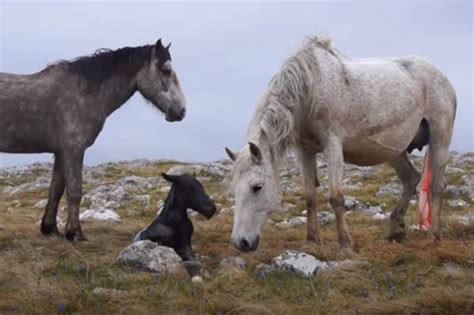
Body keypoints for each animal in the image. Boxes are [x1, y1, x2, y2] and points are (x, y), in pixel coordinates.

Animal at [0, 39, 187, 242]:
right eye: (166, 70)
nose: (181, 110)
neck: (84, 93)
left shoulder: (61, 152)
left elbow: (56, 190)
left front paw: (50, 229)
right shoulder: (74, 150)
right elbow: (75, 191)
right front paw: (75, 233)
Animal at [226, 35, 456, 253]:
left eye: (257, 187)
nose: (241, 242)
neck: (311, 89)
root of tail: (442, 77)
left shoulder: (333, 145)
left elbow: (336, 197)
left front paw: (345, 243)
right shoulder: (304, 150)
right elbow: (310, 196)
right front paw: (312, 241)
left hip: (440, 137)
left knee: (437, 185)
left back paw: (433, 235)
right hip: (394, 151)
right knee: (411, 178)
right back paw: (396, 230)